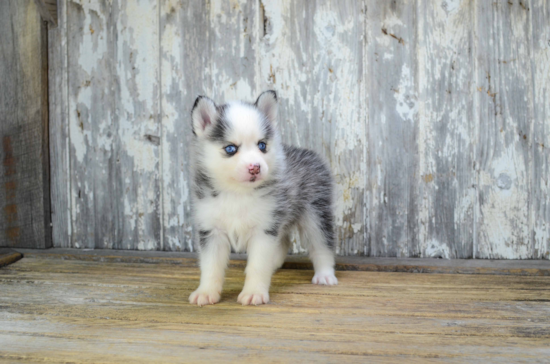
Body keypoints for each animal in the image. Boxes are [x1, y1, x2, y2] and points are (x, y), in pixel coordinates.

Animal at [189, 89, 336, 306]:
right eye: (231, 149)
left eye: (262, 145)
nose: (255, 167)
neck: (238, 194)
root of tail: (307, 152)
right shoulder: (211, 230)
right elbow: (211, 267)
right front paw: (206, 292)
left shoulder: (263, 230)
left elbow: (257, 266)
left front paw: (254, 293)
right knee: (283, 242)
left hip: (315, 214)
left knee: (322, 245)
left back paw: (325, 275)